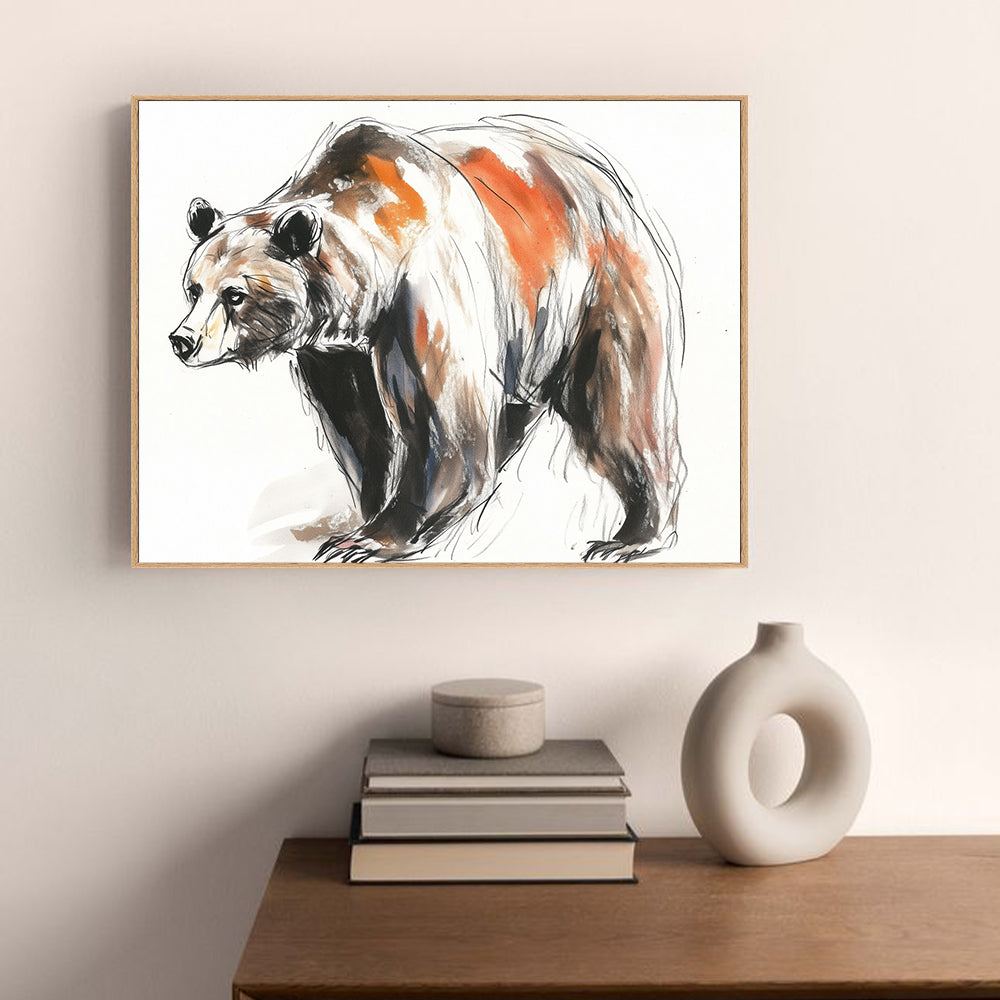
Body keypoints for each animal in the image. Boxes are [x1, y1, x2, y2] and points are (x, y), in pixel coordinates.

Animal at [169, 114, 686, 562]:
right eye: (193, 288)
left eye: (234, 295)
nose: (182, 339)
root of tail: (611, 186)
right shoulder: (336, 352)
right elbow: (359, 428)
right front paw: (371, 508)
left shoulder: (425, 297)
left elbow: (443, 424)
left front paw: (370, 539)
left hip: (599, 288)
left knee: (618, 406)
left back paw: (632, 536)